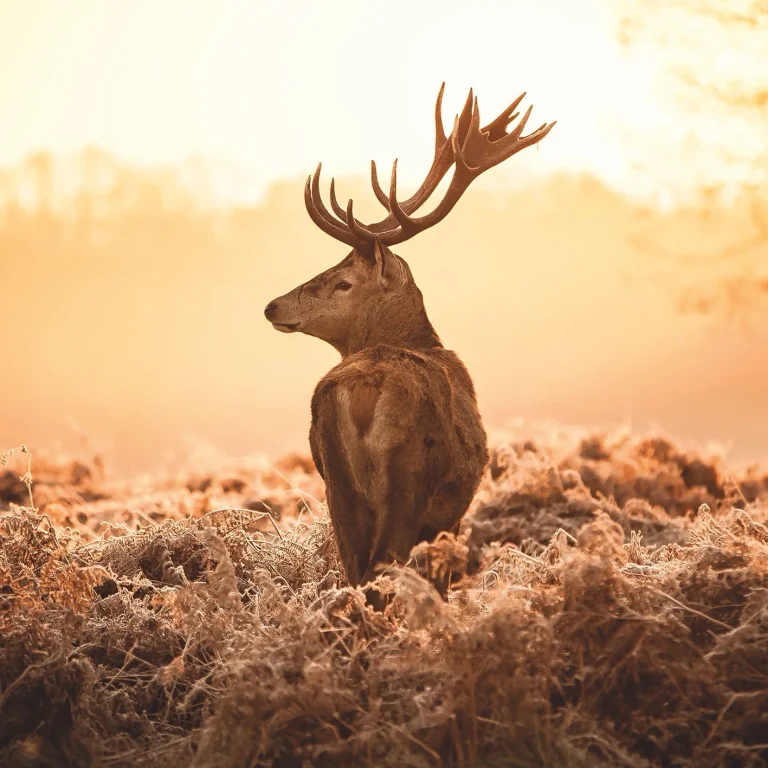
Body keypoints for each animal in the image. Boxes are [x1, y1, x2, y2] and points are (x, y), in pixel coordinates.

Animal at [264, 84, 555, 604]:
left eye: (341, 282)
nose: (272, 306)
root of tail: (361, 389)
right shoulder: (449, 513)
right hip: (409, 478)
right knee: (383, 567)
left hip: (336, 484)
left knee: (355, 568)